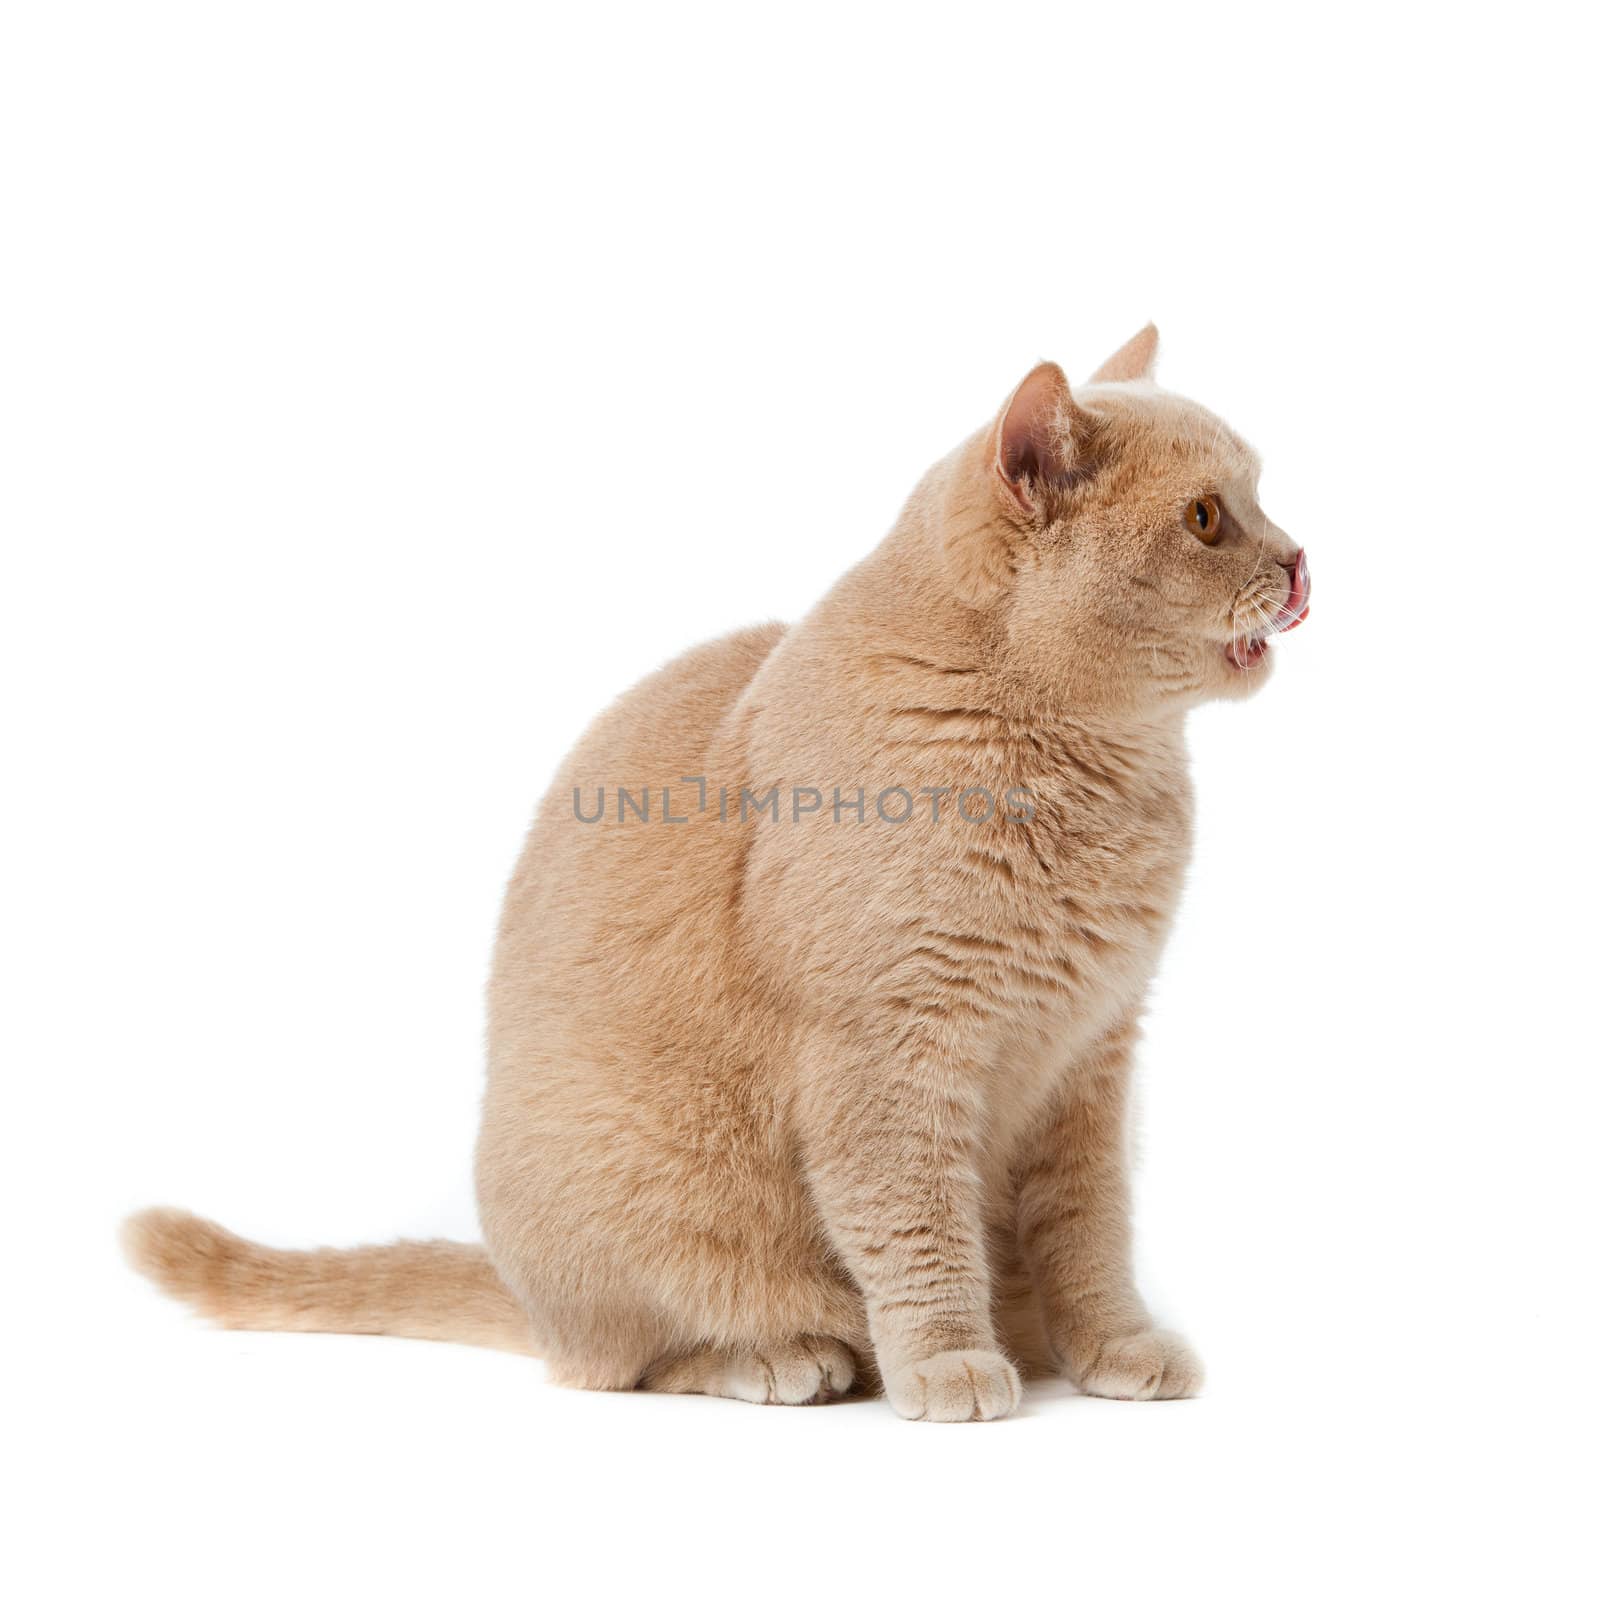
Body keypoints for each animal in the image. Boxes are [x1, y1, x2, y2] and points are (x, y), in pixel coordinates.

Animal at [121, 318, 1299, 1420]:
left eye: (1261, 499)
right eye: (1208, 518)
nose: (1300, 561)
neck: (1086, 771)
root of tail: (522, 1290)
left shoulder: (1093, 1054)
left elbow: (1089, 1232)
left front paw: (1113, 1348)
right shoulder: (886, 1056)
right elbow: (914, 1227)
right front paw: (950, 1362)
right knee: (631, 1357)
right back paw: (788, 1357)